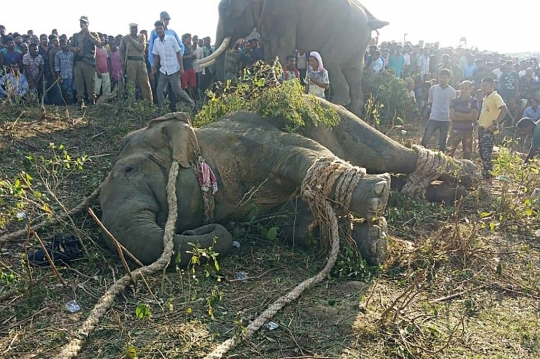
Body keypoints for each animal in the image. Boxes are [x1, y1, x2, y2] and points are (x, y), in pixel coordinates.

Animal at [198, 0, 388, 116]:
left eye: (227, 11)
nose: (220, 94)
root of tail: (370, 20)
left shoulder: (282, 15)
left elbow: (282, 48)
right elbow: (269, 51)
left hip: (347, 33)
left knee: (330, 60)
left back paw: (338, 104)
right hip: (357, 41)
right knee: (354, 72)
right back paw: (354, 111)